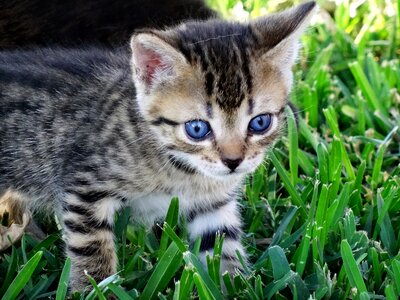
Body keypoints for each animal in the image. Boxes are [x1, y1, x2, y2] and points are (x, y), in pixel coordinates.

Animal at [0, 0, 316, 290]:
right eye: (197, 129)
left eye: (260, 123)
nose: (233, 161)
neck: (181, 168)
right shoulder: (84, 184)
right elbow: (90, 245)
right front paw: (94, 287)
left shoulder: (213, 204)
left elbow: (221, 242)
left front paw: (235, 285)